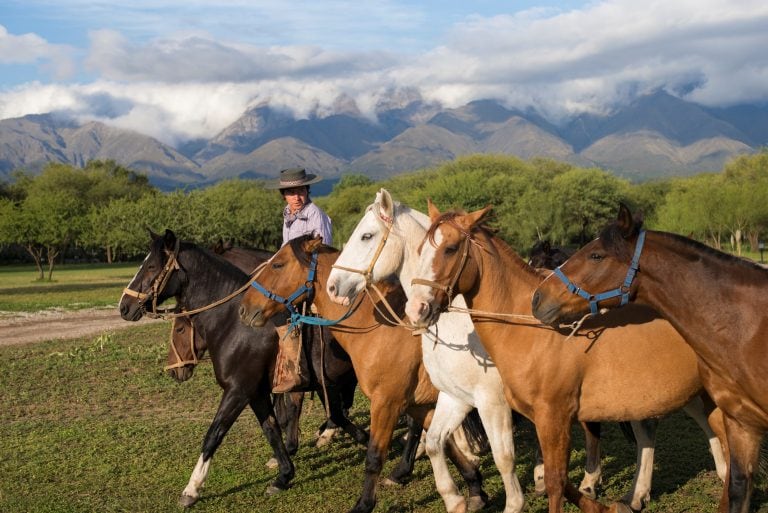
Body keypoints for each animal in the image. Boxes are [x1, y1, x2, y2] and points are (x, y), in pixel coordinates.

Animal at [121, 230, 368, 506]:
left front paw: (192, 489)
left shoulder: (237, 391)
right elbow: (272, 429)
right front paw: (284, 475)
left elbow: (214, 434)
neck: (235, 324)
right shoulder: (257, 392)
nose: (125, 306)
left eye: (152, 266)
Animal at [238, 235, 486, 512]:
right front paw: (475, 487)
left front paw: (364, 504)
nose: (244, 309)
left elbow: (374, 456)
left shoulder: (386, 403)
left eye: (278, 264)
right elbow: (445, 444)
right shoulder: (418, 405)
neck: (380, 329)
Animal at [324, 189, 728, 512]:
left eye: (366, 235)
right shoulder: (455, 398)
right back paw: (634, 495)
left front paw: (512, 499)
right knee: (650, 432)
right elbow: (438, 443)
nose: (332, 286)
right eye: (422, 249)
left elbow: (503, 458)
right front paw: (459, 498)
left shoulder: (491, 401)